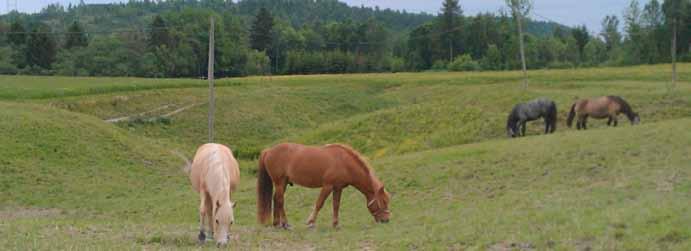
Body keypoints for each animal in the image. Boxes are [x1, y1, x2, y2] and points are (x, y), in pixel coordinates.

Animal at [256, 142, 392, 228]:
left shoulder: (338, 188)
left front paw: (336, 224)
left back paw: (277, 223)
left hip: (282, 183)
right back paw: (285, 223)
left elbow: (336, 205)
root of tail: (268, 150)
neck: (344, 162)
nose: (386, 220)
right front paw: (311, 222)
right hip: (280, 182)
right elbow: (319, 203)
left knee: (276, 199)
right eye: (383, 202)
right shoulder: (327, 186)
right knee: (280, 200)